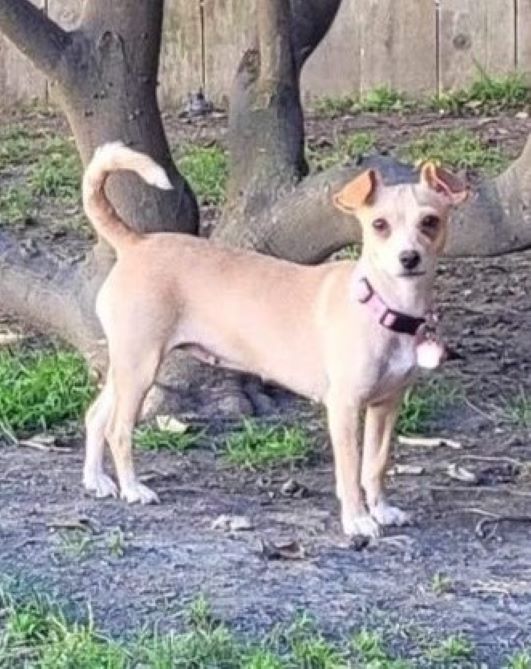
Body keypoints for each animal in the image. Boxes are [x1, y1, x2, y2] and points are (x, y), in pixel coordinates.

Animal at [81, 145, 468, 536]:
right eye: (379, 225)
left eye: (430, 221)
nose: (409, 258)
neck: (382, 306)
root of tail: (136, 242)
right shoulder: (344, 408)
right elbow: (349, 470)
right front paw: (357, 519)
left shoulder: (386, 406)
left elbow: (375, 464)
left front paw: (382, 509)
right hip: (140, 368)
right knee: (118, 430)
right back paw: (132, 487)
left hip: (126, 368)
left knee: (95, 415)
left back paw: (96, 480)